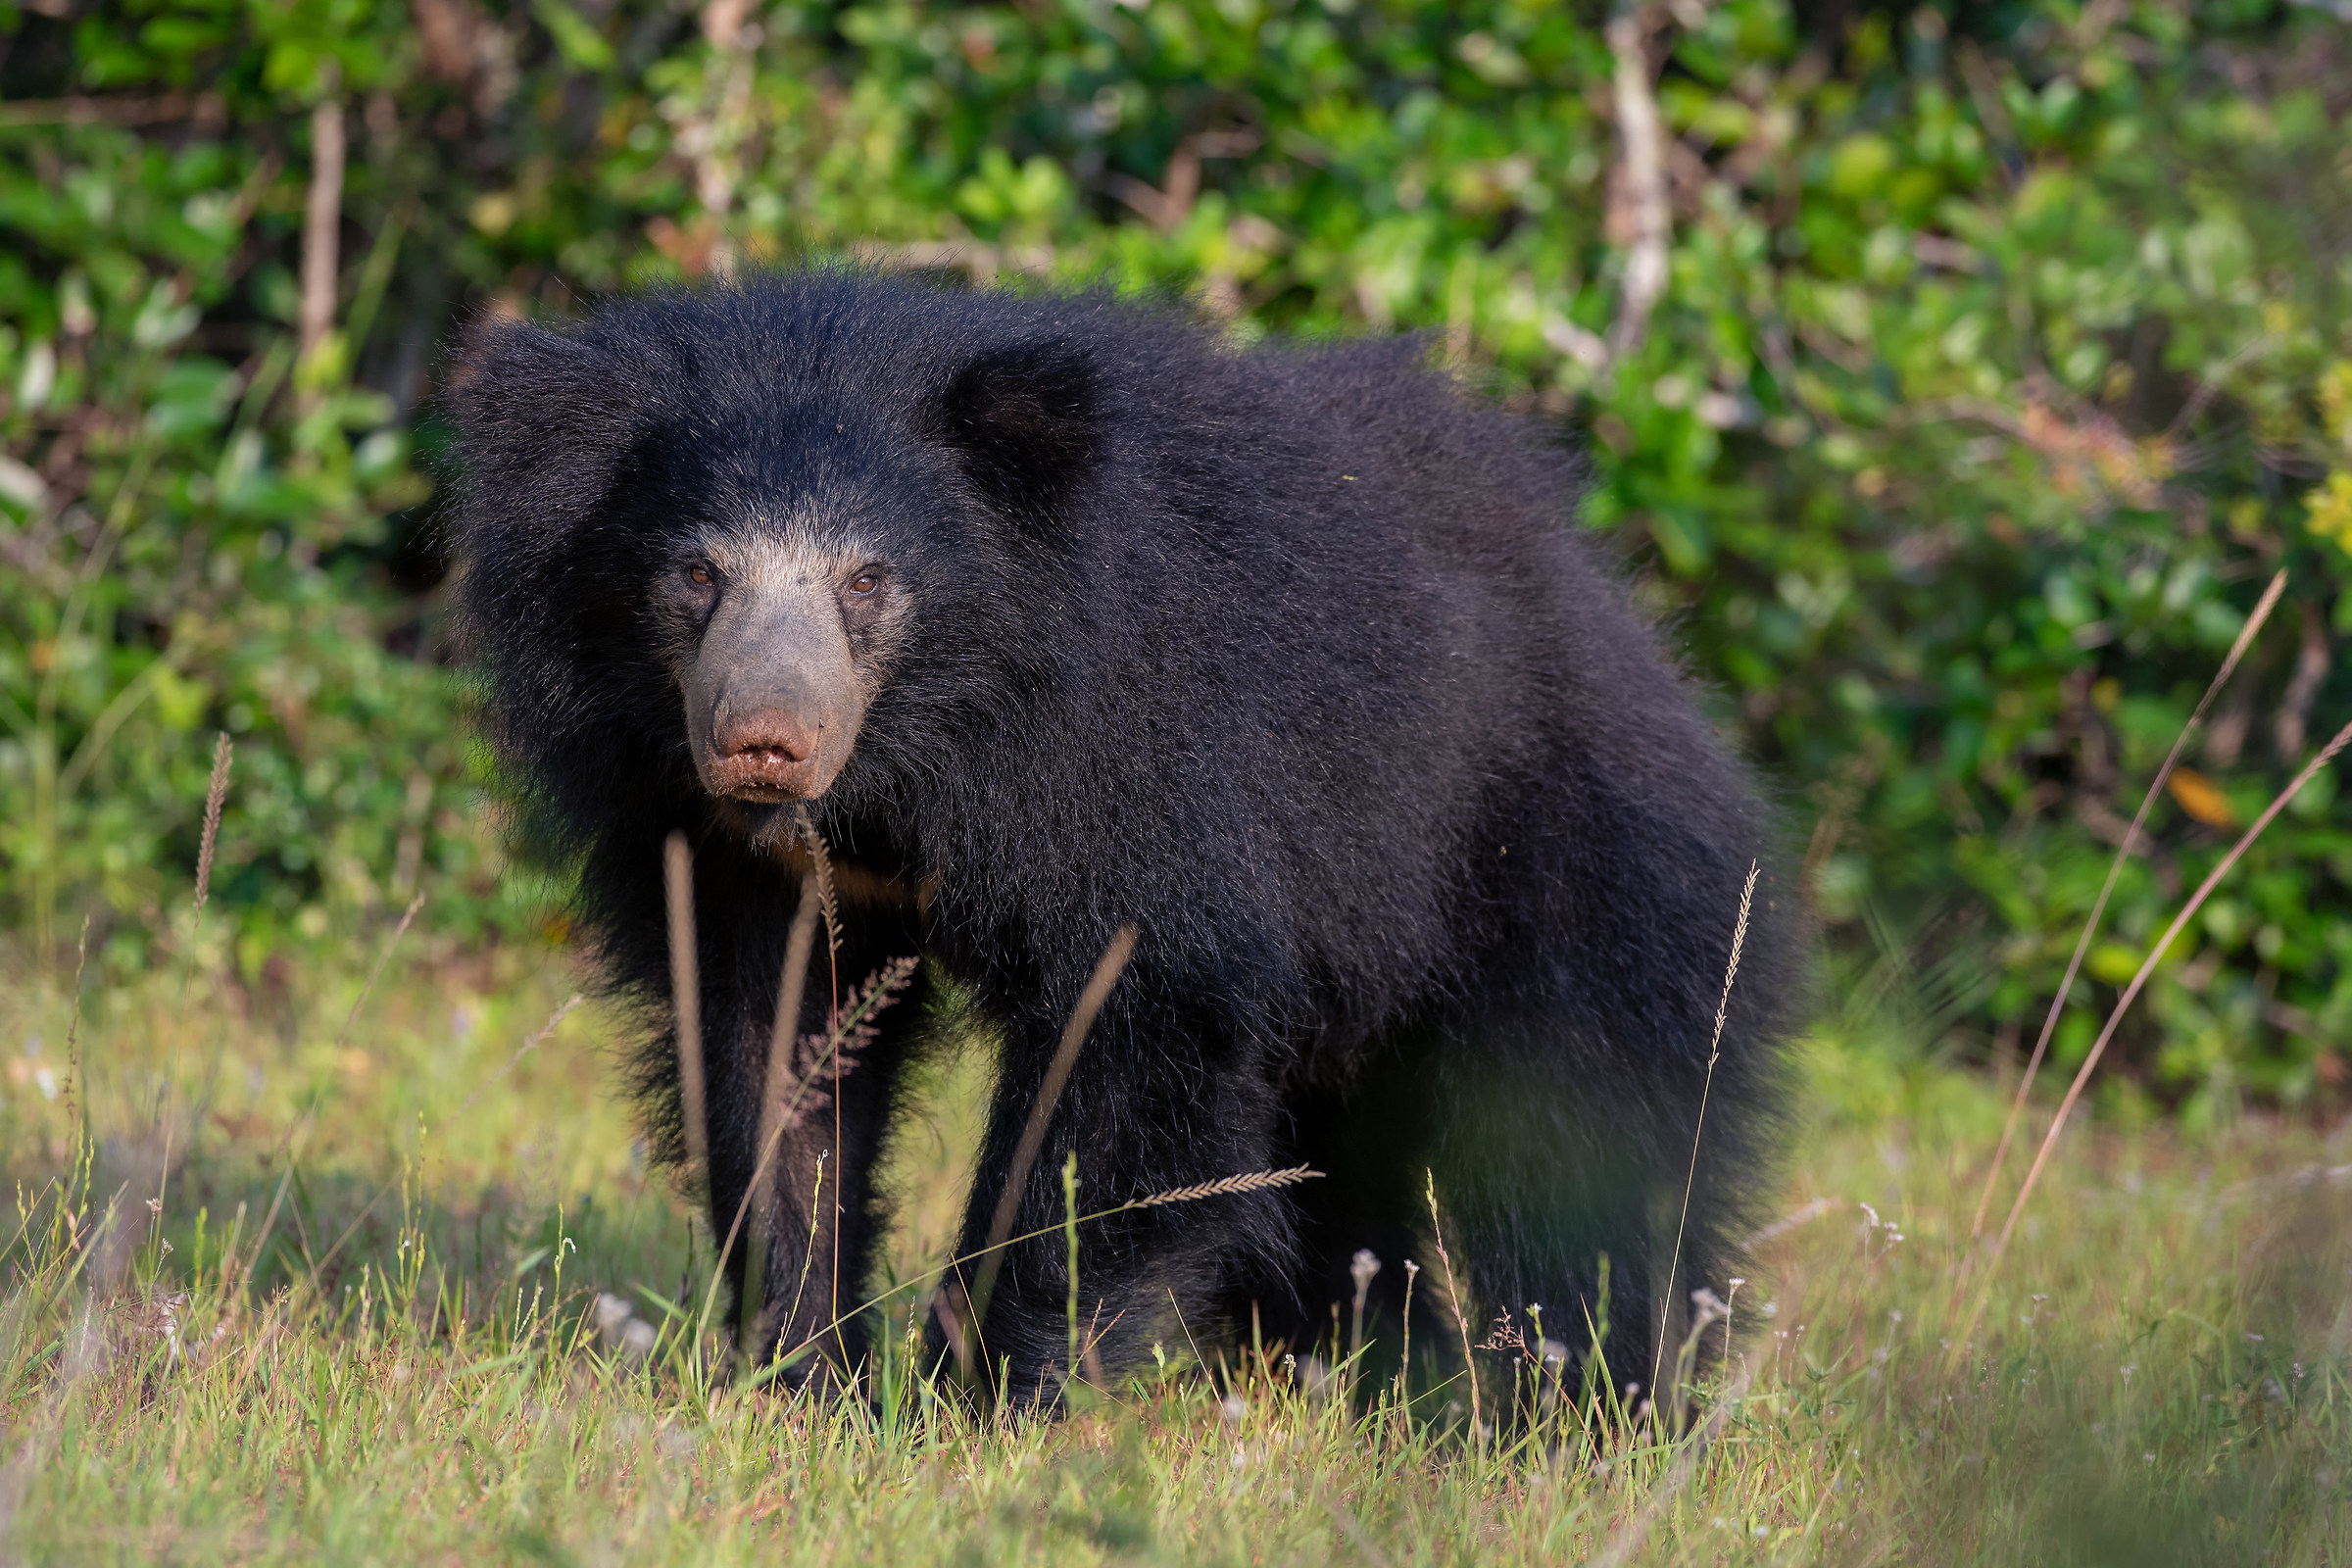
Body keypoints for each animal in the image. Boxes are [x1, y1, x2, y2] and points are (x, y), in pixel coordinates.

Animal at [446, 269, 1797, 1404]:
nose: (763, 741)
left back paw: (1579, 1411)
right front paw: (801, 1377)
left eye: (868, 579)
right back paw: (1343, 1381)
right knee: (1343, 1184)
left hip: (1572, 873)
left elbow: (1136, 1040)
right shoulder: (727, 849)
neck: (922, 750)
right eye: (698, 574)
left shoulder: (1143, 763)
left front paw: (980, 1397)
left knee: (1582, 1162)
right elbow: (781, 1052)